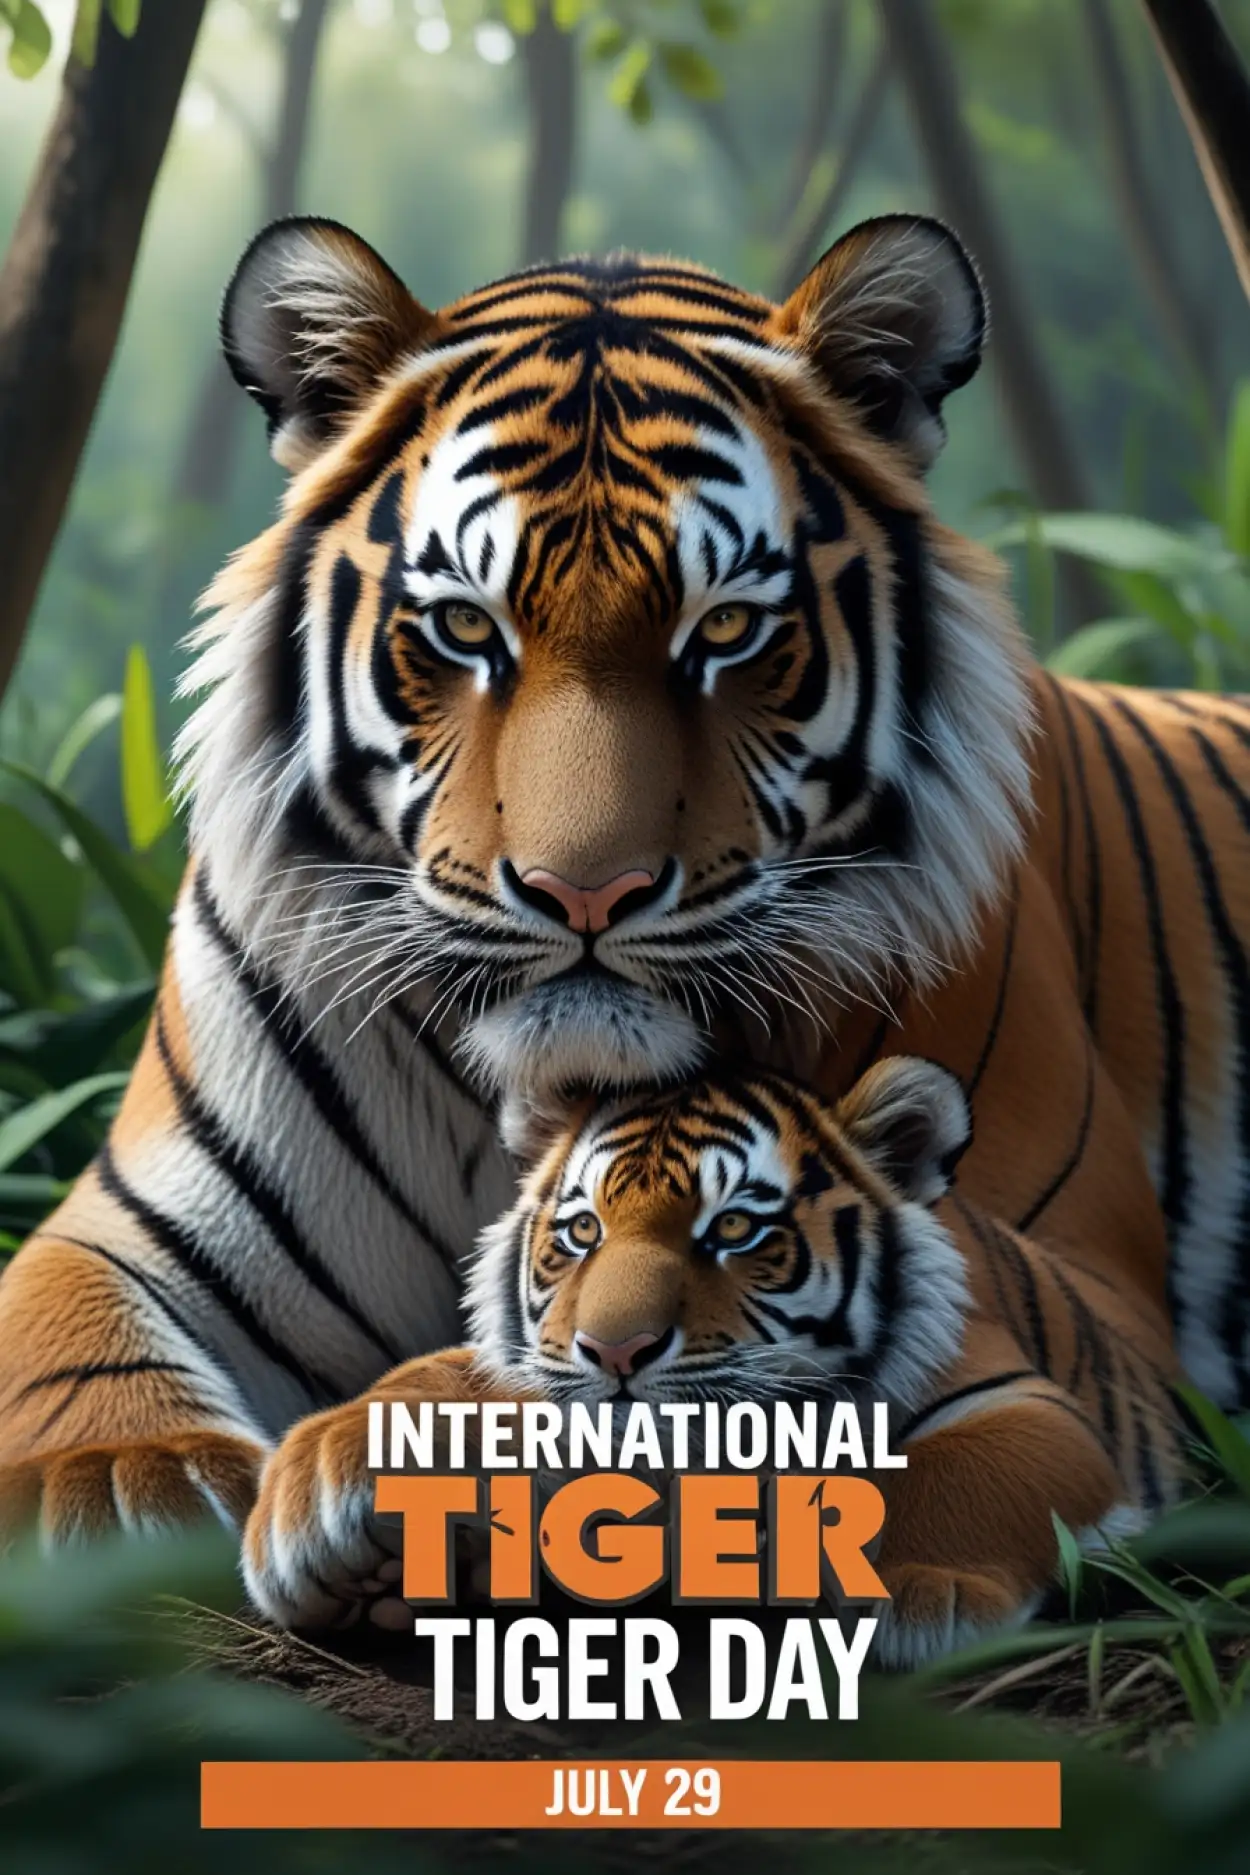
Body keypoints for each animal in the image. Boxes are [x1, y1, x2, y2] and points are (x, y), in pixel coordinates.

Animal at [240, 1059, 1184, 1665]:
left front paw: (914, 1591)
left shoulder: (1027, 1403)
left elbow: (951, 1468)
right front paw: (319, 1505)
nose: (615, 1349)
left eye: (732, 1227)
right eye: (582, 1230)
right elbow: (434, 1379)